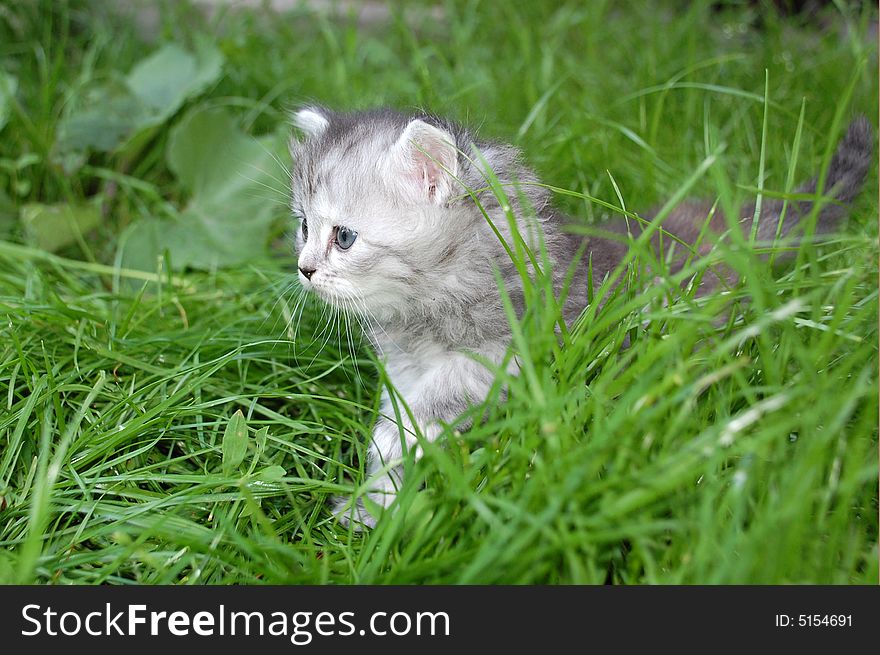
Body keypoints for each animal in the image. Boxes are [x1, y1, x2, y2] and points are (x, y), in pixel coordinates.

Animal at [290, 106, 872, 528]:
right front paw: (373, 503)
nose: (304, 269)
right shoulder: (404, 373)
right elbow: (394, 426)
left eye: (344, 236)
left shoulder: (504, 358)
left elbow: (428, 411)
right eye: (303, 227)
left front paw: (382, 484)